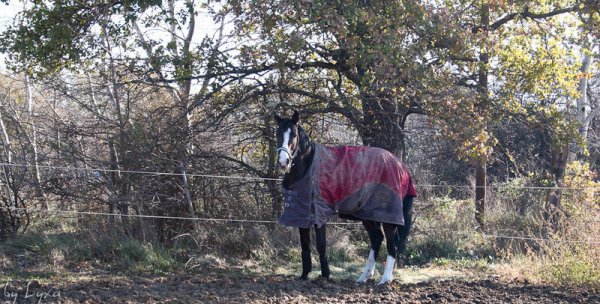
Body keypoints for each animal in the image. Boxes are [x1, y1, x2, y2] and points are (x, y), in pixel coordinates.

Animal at [274, 111, 414, 284]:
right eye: (278, 133)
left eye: (293, 135)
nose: (283, 161)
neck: (308, 166)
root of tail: (401, 167)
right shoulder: (302, 213)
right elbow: (305, 244)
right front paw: (304, 275)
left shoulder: (318, 214)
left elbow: (321, 244)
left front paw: (325, 275)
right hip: (368, 215)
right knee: (376, 239)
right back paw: (364, 277)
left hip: (388, 216)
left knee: (391, 243)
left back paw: (385, 279)